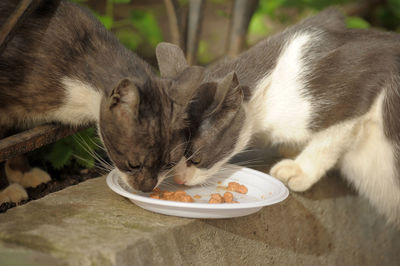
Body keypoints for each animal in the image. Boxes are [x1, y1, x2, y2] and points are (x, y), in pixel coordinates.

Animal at [155, 8, 400, 225]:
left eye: (196, 159)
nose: (178, 179)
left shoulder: (359, 81)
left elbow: (331, 137)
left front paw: (300, 169)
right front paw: (293, 148)